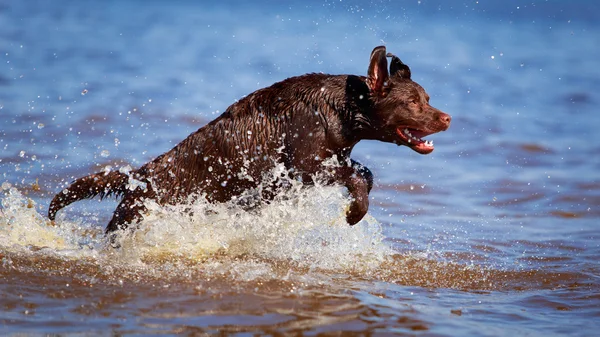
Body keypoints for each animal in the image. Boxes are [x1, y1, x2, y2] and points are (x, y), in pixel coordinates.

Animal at [48, 45, 450, 234]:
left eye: (428, 98)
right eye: (413, 103)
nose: (446, 118)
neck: (338, 109)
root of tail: (140, 176)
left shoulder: (334, 156)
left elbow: (364, 172)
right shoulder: (305, 167)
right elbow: (352, 176)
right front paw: (355, 212)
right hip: (135, 216)